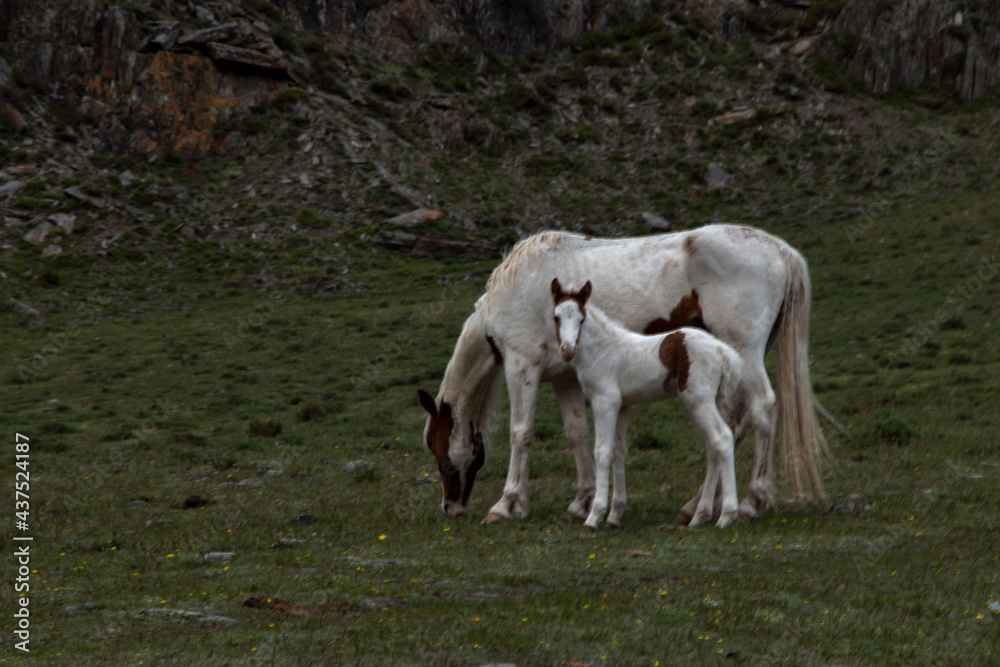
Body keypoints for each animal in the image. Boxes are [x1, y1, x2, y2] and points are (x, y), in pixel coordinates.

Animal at [552, 280, 748, 528]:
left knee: (722, 438)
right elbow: (619, 452)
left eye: (581, 319)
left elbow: (603, 452)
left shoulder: (605, 401)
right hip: (695, 403)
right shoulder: (622, 405)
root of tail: (723, 351)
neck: (603, 350)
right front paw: (615, 516)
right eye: (556, 317)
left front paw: (594, 516)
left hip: (700, 401)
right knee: (712, 445)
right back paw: (699, 516)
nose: (567, 350)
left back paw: (726, 515)